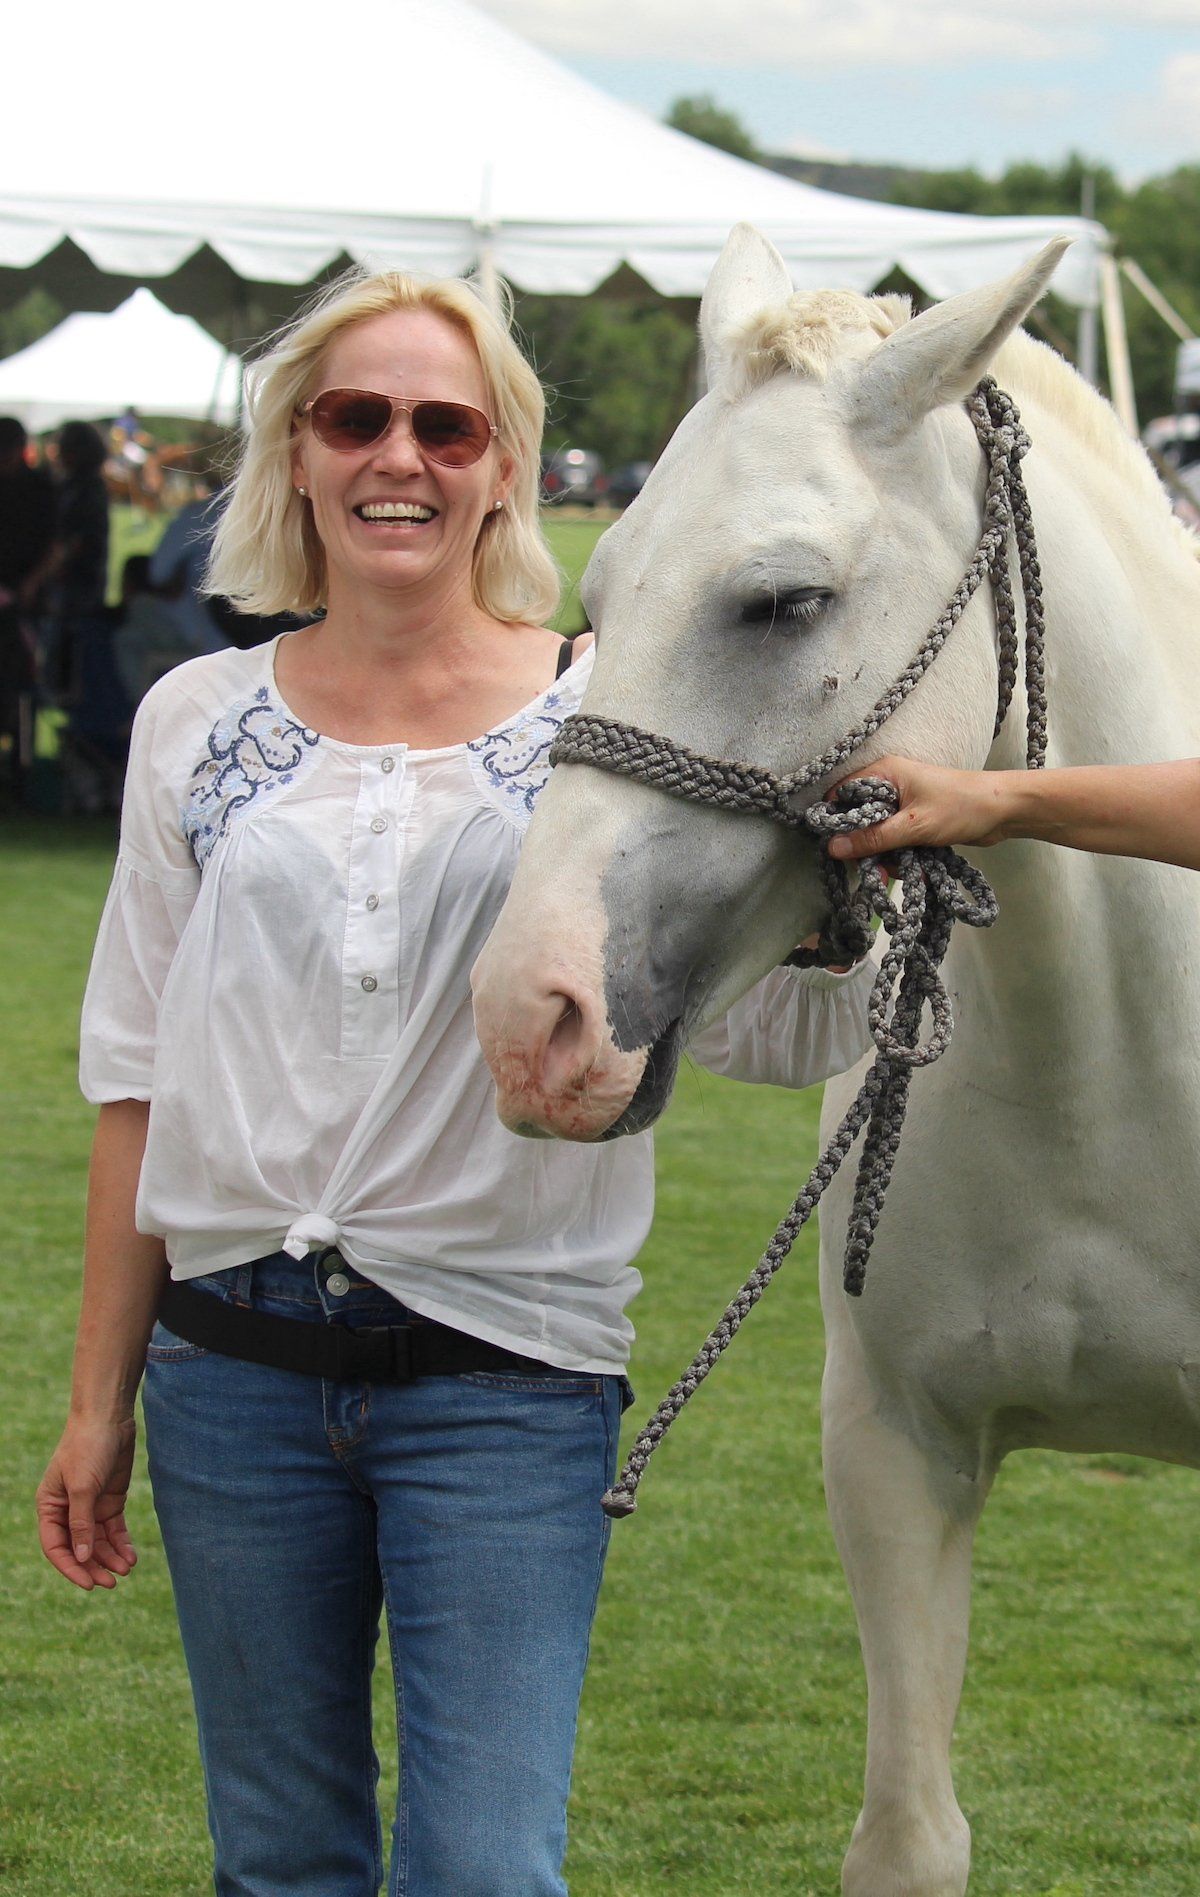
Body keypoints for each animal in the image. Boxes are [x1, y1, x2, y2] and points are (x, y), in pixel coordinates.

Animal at [470, 224, 1200, 1894]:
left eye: (783, 599)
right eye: (601, 585)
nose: (534, 1014)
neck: (1116, 1077)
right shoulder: (894, 1454)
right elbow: (908, 1837)